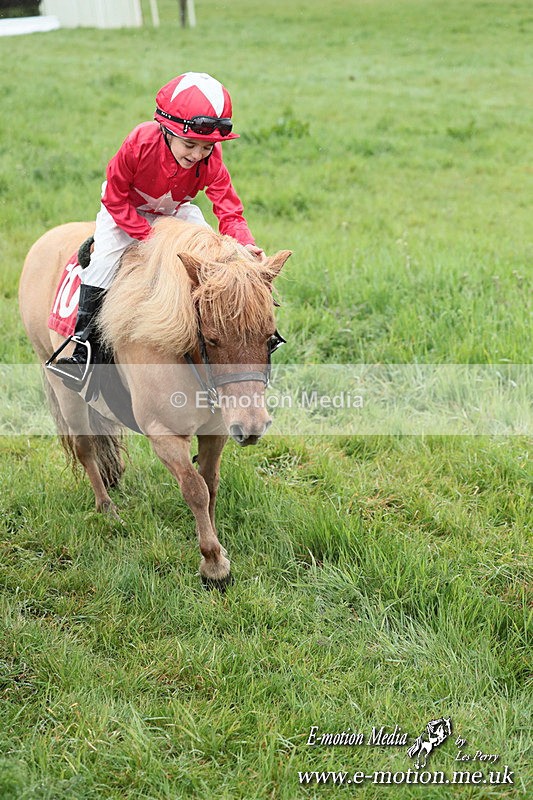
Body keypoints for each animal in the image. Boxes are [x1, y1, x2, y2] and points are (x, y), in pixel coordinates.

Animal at [18, 217, 290, 588]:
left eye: (269, 338)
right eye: (212, 338)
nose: (252, 427)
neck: (185, 354)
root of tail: (45, 240)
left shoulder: (217, 431)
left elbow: (210, 483)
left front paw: (216, 545)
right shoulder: (164, 435)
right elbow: (195, 489)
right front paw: (213, 564)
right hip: (64, 390)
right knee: (85, 447)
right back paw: (107, 508)